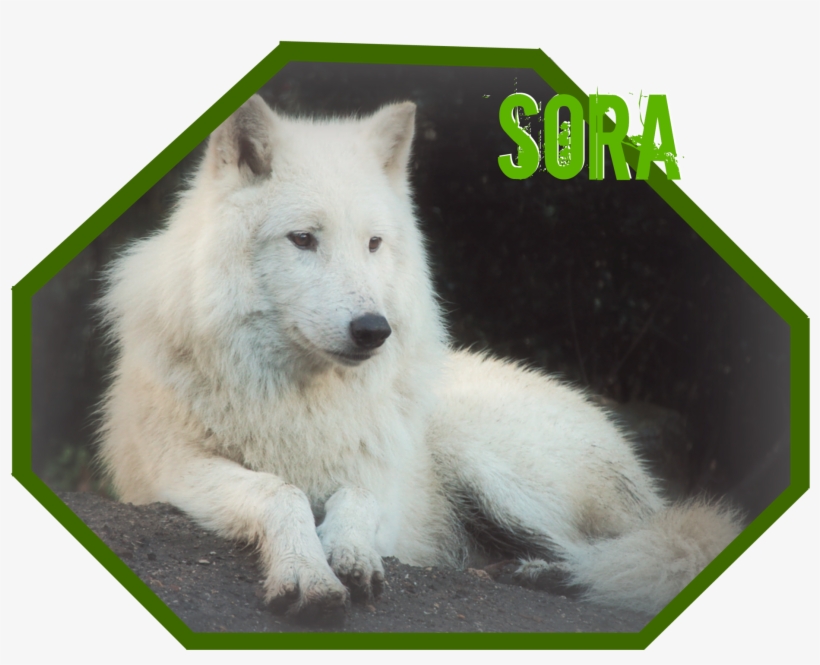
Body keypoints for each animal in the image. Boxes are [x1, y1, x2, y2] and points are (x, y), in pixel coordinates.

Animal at [98, 94, 742, 621]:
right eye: (303, 239)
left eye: (373, 244)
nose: (372, 330)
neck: (302, 402)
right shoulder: (177, 469)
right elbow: (279, 492)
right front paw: (308, 571)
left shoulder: (381, 479)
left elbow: (355, 499)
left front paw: (348, 553)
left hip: (480, 458)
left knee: (618, 551)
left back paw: (546, 574)